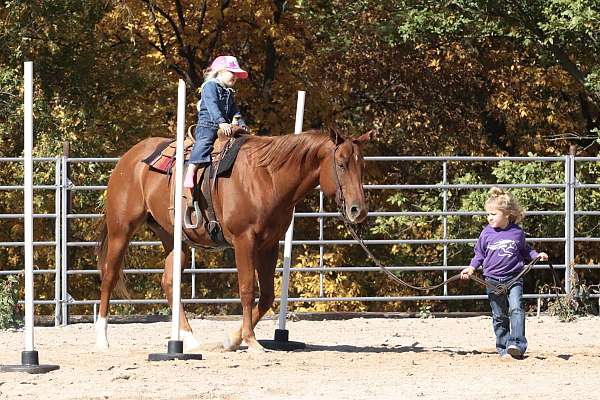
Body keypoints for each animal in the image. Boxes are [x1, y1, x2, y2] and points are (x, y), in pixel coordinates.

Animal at [94, 128, 370, 354]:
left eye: (362, 166)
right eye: (341, 164)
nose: (358, 210)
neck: (267, 177)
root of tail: (129, 158)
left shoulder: (269, 245)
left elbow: (267, 295)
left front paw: (232, 340)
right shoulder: (243, 241)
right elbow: (247, 290)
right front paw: (251, 340)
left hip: (173, 238)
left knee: (169, 281)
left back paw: (189, 340)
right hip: (121, 230)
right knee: (109, 276)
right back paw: (102, 339)